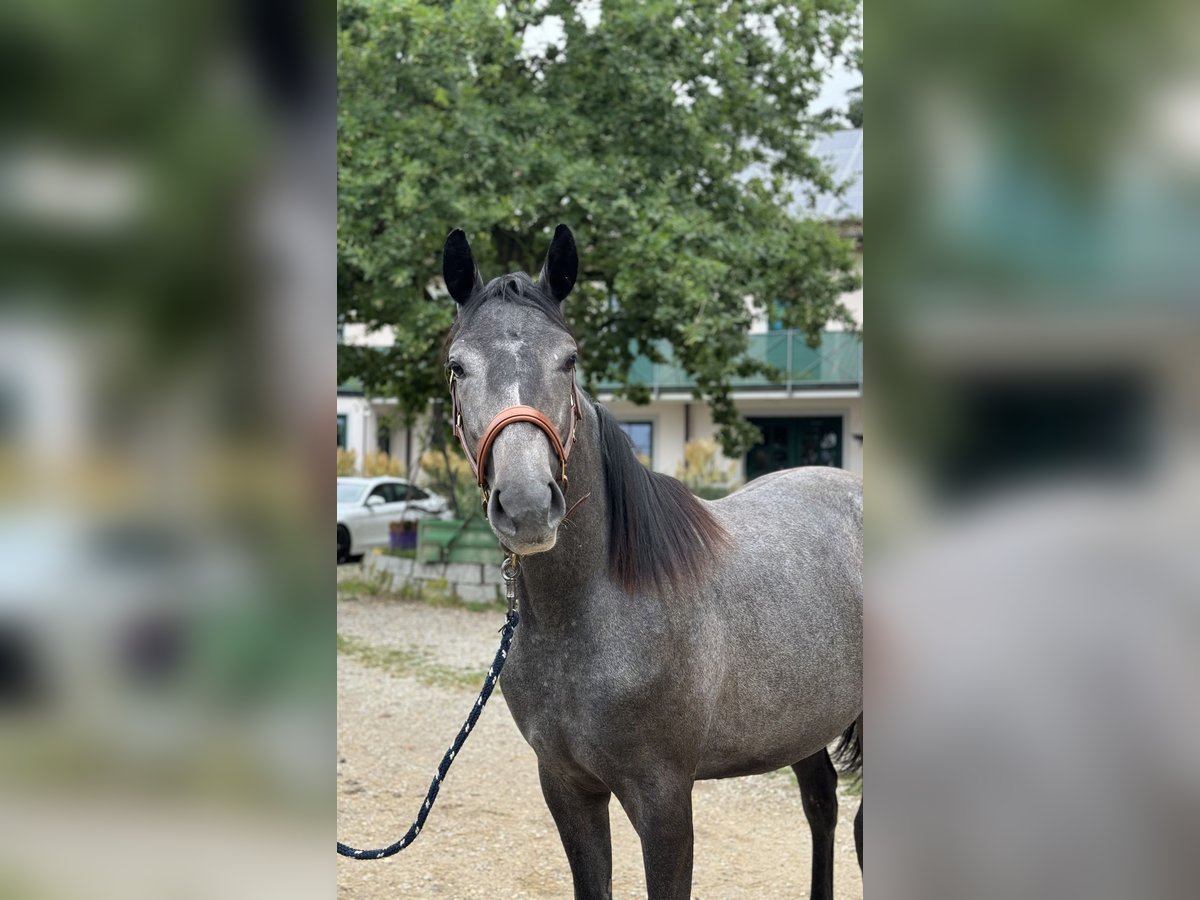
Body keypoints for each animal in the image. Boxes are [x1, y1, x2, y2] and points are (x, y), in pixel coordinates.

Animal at [441, 222, 864, 897]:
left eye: (570, 359)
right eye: (458, 366)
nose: (528, 505)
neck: (589, 614)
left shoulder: (664, 801)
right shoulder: (567, 789)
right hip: (803, 721)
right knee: (821, 803)